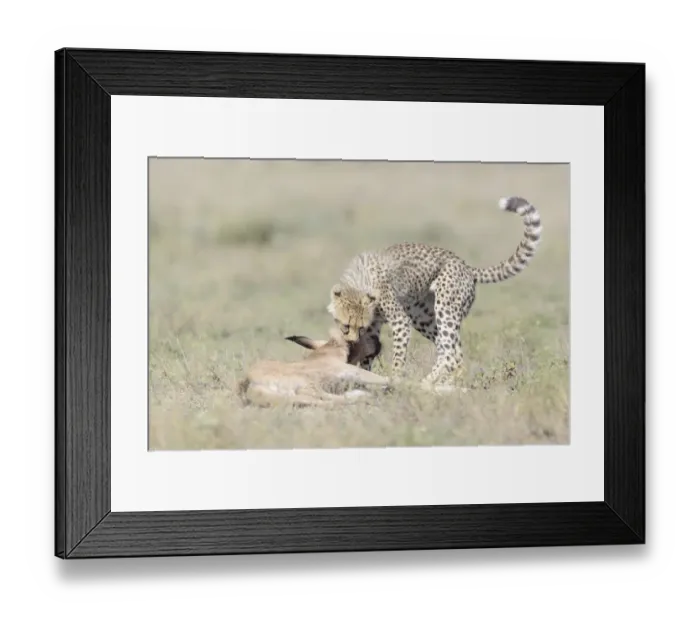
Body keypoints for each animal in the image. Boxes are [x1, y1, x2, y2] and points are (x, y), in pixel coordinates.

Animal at [237, 326, 392, 408]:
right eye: (363, 334)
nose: (379, 342)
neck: (328, 349)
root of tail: (247, 384)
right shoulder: (347, 370)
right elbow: (382, 379)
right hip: (306, 383)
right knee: (324, 398)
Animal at [326, 196, 543, 385]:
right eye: (345, 326)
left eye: (357, 327)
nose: (352, 341)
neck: (359, 284)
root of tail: (466, 266)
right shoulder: (374, 327)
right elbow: (367, 355)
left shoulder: (400, 322)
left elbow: (397, 359)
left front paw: (393, 380)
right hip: (423, 317)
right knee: (453, 354)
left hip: (445, 309)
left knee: (449, 355)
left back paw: (428, 383)